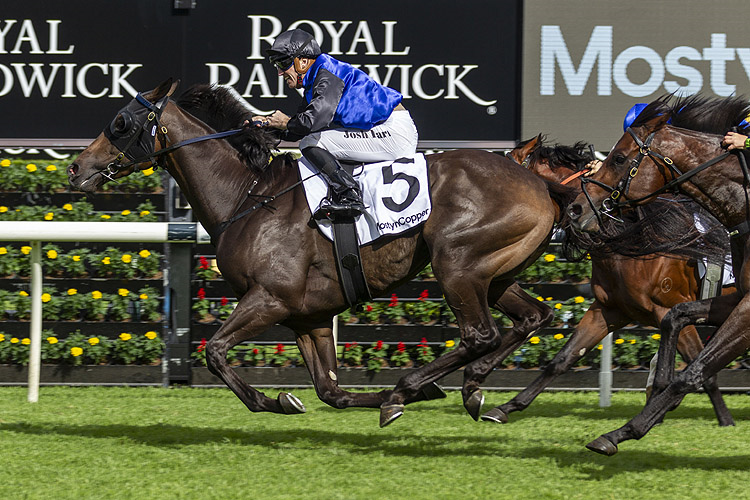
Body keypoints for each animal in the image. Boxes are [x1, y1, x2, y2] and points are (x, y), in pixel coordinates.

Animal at [67, 80, 572, 428]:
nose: (75, 167)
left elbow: (215, 352)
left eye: (121, 123)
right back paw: (471, 390)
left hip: (457, 266)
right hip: (494, 274)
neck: (247, 196)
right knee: (534, 316)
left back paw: (413, 387)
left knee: (479, 334)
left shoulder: (270, 298)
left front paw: (274, 400)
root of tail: (538, 183)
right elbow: (331, 390)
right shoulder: (307, 316)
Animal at [476, 136, 736, 426]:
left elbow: (703, 369)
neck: (633, 240)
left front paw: (725, 420)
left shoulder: (669, 309)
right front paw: (506, 407)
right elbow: (563, 358)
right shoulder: (609, 309)